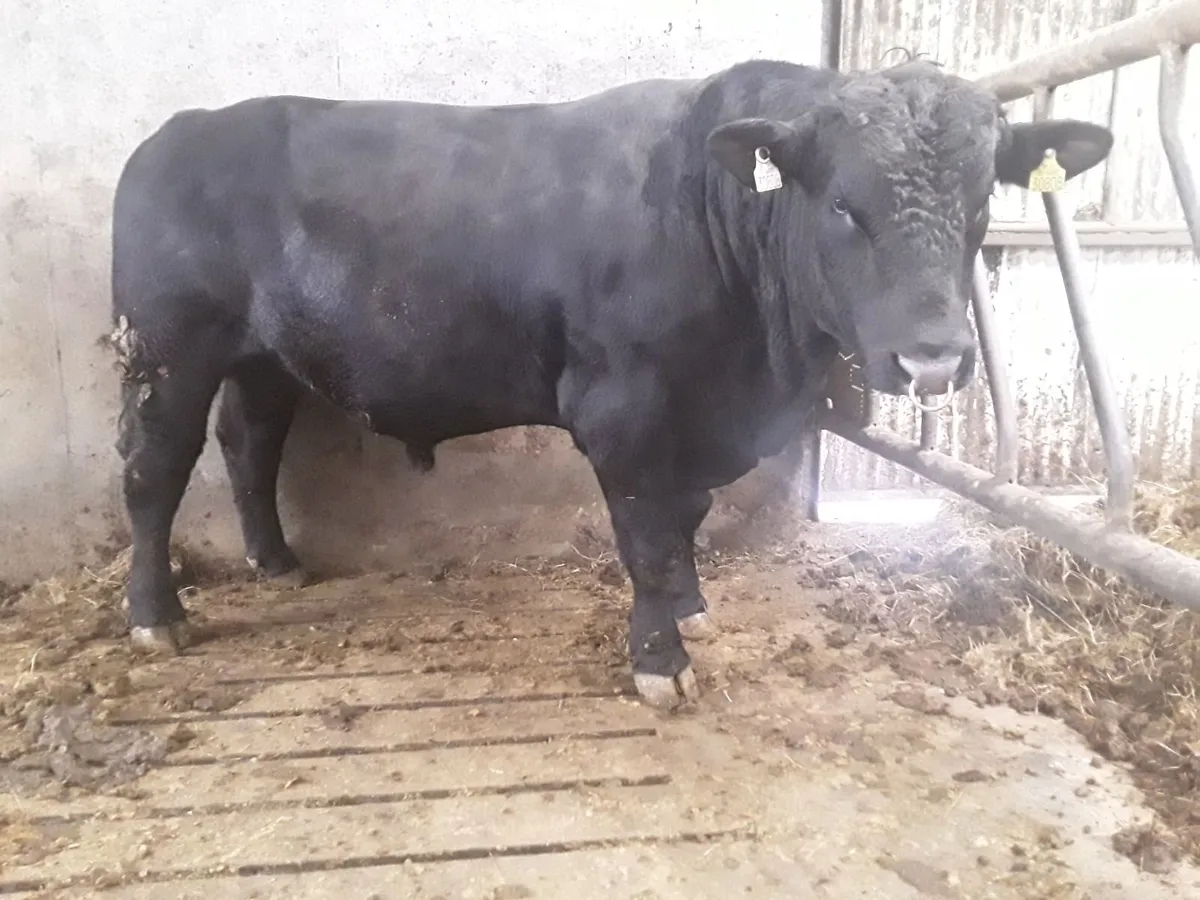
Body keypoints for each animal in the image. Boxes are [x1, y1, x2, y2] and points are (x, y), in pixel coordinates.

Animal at [110, 58, 1113, 710]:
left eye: (982, 202)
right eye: (842, 206)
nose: (933, 357)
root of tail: (181, 129)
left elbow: (686, 521)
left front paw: (693, 612)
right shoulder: (622, 412)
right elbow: (648, 537)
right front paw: (660, 661)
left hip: (262, 357)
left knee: (250, 445)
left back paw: (275, 562)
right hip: (166, 353)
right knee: (154, 474)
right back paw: (156, 617)